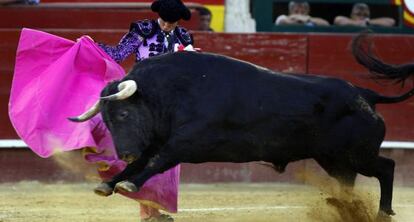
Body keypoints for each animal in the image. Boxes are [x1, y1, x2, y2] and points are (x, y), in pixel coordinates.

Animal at [70, 35, 414, 216]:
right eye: (107, 121)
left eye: (124, 115)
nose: (124, 152)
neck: (170, 92)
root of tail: (365, 94)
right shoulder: (157, 140)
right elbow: (140, 163)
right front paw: (109, 183)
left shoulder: (184, 143)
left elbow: (156, 161)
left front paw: (127, 184)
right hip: (332, 158)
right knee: (349, 180)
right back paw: (347, 209)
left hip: (356, 153)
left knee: (386, 167)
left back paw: (383, 212)